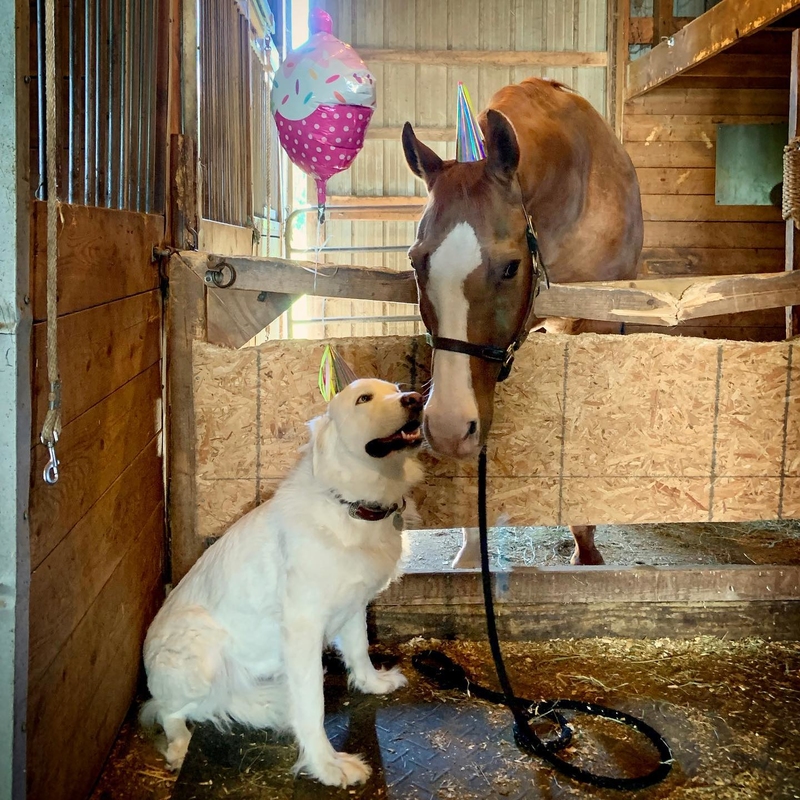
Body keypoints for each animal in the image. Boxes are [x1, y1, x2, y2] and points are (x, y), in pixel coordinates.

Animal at [141, 380, 424, 788]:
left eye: (397, 389)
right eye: (363, 399)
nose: (415, 399)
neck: (350, 505)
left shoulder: (354, 604)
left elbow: (358, 650)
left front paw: (372, 683)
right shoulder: (303, 627)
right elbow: (311, 704)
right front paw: (327, 765)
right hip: (202, 651)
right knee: (166, 710)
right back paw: (178, 746)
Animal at [400, 75, 644, 564]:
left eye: (511, 267)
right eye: (416, 262)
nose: (446, 427)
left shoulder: (596, 326)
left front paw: (586, 547)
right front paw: (471, 549)